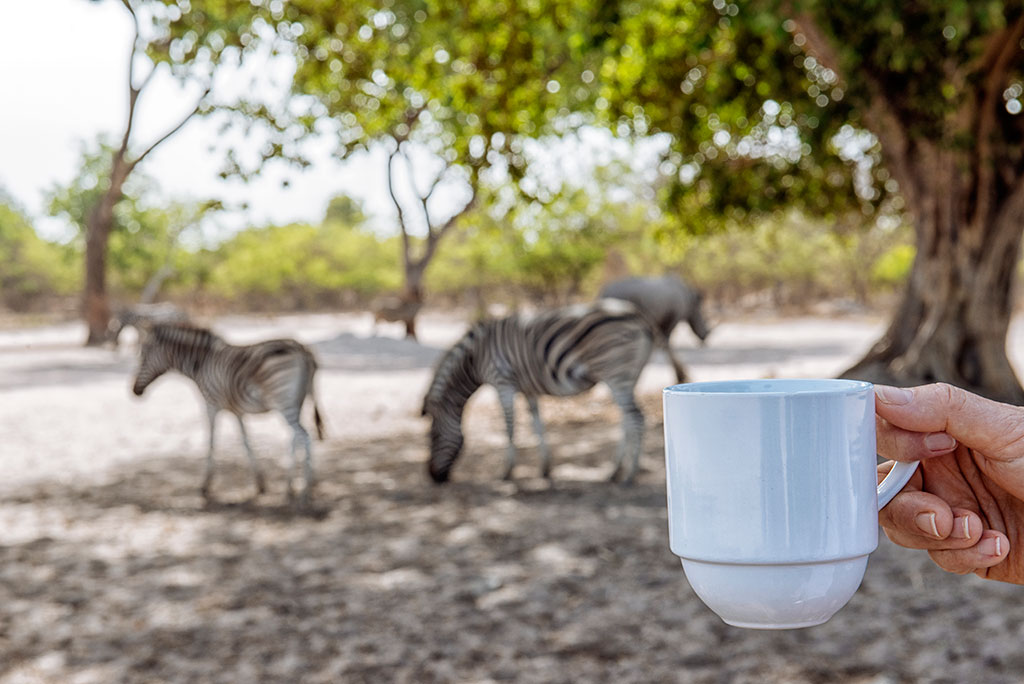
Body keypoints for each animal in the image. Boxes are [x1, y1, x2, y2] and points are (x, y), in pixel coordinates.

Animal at [130, 323, 323, 505]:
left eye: (143, 356)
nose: (135, 391)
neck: (202, 362)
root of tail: (302, 349)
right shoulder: (236, 410)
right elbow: (246, 442)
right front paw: (260, 484)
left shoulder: (211, 405)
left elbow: (211, 442)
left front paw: (205, 486)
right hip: (297, 403)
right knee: (295, 438)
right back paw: (291, 488)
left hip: (283, 402)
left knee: (304, 436)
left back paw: (306, 491)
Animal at [421, 298, 655, 485]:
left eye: (433, 436)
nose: (433, 477)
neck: (475, 358)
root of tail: (637, 316)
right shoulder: (528, 390)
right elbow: (537, 425)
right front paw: (545, 469)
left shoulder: (502, 382)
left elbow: (509, 427)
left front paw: (507, 472)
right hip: (628, 377)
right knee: (626, 420)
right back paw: (615, 471)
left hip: (616, 374)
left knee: (636, 418)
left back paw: (630, 475)